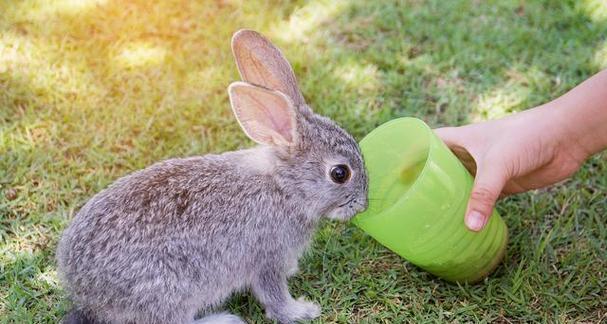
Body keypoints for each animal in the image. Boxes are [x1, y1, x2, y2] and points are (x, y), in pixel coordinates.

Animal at [57, 28, 368, 324]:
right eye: (339, 173)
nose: (363, 205)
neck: (285, 188)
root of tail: (85, 294)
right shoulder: (267, 257)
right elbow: (274, 296)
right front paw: (302, 311)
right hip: (169, 288)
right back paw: (224, 319)